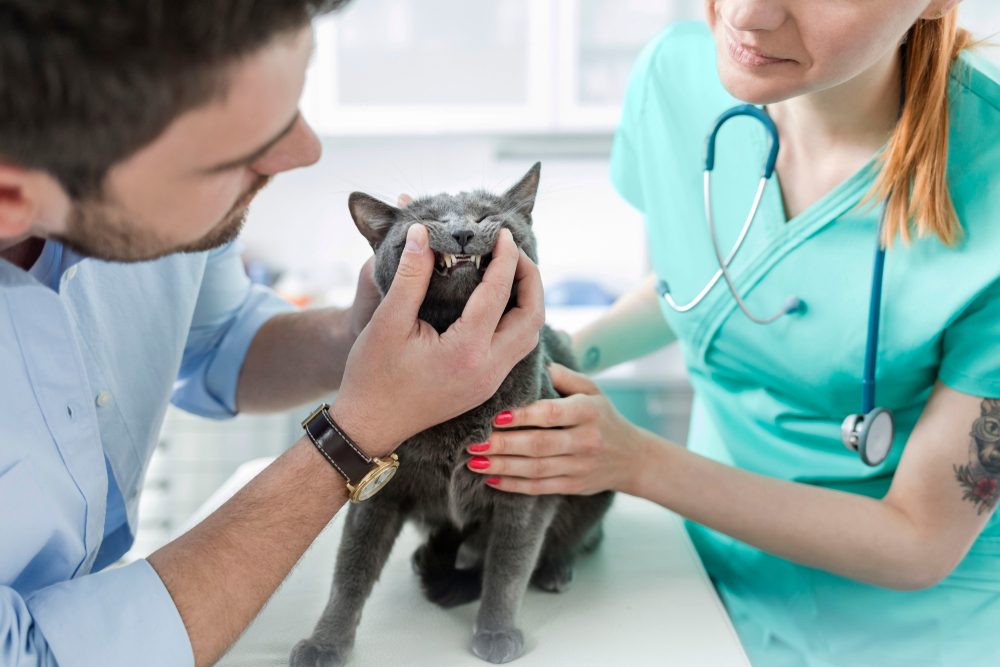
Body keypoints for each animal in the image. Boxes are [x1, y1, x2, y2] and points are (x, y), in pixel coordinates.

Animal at [290, 163, 612, 667]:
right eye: (432, 220)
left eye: (484, 217)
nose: (462, 233)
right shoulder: (379, 492)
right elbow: (350, 571)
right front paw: (325, 642)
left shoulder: (525, 487)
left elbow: (508, 566)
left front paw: (497, 631)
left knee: (578, 537)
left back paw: (555, 568)